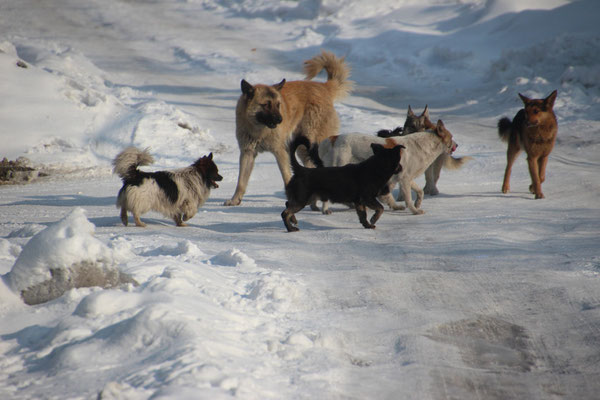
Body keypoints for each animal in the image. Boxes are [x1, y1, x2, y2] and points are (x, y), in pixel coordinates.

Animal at [225, 50, 352, 206]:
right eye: (266, 105)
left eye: (278, 104)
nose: (280, 120)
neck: (259, 130)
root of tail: (323, 87)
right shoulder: (247, 153)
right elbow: (241, 181)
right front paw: (235, 200)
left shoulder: (281, 152)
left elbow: (286, 176)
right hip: (303, 149)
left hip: (312, 142)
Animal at [316, 119, 458, 216]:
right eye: (451, 137)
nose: (457, 145)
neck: (425, 144)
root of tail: (334, 138)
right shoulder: (404, 180)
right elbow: (408, 199)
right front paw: (414, 210)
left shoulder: (406, 178)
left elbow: (420, 191)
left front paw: (417, 204)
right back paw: (325, 209)